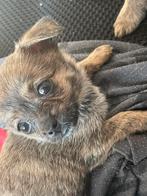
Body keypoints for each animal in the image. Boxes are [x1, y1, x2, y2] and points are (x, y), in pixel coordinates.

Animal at [0, 17, 147, 196]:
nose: (51, 130)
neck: (81, 98)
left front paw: (98, 53)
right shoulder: (96, 142)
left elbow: (81, 65)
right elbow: (123, 119)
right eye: (23, 127)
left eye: (44, 88)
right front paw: (144, 116)